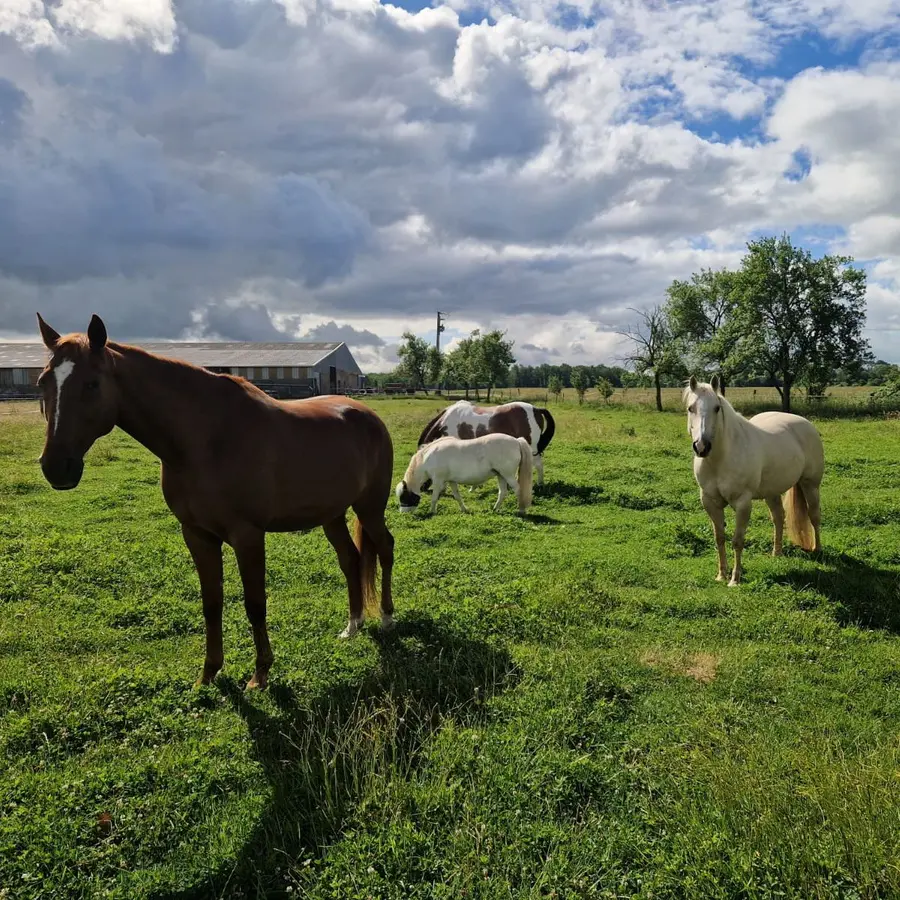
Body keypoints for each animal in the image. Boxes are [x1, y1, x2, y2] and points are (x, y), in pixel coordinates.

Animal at [34, 313, 396, 690]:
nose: (56, 467)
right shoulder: (196, 534)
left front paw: (260, 673)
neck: (205, 439)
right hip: (332, 514)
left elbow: (255, 603)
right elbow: (212, 602)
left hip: (370, 507)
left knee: (385, 547)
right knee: (350, 559)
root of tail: (366, 413)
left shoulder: (247, 535)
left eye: (91, 384)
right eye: (43, 382)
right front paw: (208, 672)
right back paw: (353, 626)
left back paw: (386, 618)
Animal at [396, 433, 533, 515]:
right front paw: (464, 509)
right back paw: (495, 508)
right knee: (503, 492)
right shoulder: (451, 481)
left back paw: (521, 510)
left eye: (404, 496)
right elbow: (457, 496)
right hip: (501, 475)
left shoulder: (438, 480)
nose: (403, 513)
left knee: (518, 490)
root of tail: (516, 440)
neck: (427, 458)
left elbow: (434, 497)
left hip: (508, 475)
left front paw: (432, 512)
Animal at [417, 400, 555, 484]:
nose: (423, 489)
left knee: (538, 465)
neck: (445, 422)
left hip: (532, 447)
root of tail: (536, 409)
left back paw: (540, 484)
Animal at [684, 374, 824, 586]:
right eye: (691, 408)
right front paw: (721, 575)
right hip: (772, 492)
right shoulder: (709, 501)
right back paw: (776, 553)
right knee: (778, 517)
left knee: (814, 515)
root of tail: (805, 423)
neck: (720, 459)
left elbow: (737, 540)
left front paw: (735, 579)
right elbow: (719, 538)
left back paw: (817, 550)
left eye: (717, 408)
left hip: (811, 485)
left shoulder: (742, 503)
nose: (702, 446)